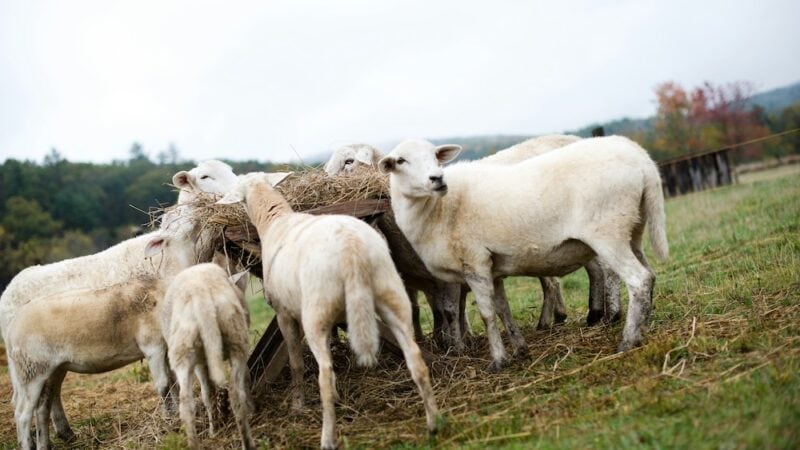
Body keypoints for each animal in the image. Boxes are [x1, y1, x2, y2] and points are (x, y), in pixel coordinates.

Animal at [4, 229, 205, 450]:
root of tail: (13, 327)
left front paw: (176, 413)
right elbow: (164, 385)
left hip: (49, 370)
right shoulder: (153, 347)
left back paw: (49, 441)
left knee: (43, 406)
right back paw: (29, 443)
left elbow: (174, 382)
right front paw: (169, 419)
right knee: (22, 413)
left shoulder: (165, 346)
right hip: (30, 371)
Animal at [159, 264, 253, 450]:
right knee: (235, 393)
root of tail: (199, 291)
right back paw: (247, 442)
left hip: (185, 349)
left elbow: (208, 393)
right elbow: (245, 377)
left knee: (187, 404)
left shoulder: (200, 363)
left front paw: (213, 430)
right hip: (236, 338)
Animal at [219, 172, 440, 450]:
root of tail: (351, 249)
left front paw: (298, 404)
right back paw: (434, 423)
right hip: (391, 294)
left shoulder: (284, 313)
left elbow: (296, 363)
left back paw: (327, 437)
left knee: (324, 376)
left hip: (316, 313)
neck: (275, 221)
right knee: (416, 360)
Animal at [382, 136, 668, 370]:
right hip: (633, 228)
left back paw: (627, 340)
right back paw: (642, 328)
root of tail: (640, 156)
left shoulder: (475, 262)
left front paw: (498, 360)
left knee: (638, 279)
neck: (438, 209)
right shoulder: (492, 268)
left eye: (435, 155)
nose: (437, 179)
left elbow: (486, 314)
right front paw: (520, 350)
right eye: (401, 160)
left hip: (608, 232)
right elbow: (503, 310)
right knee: (649, 274)